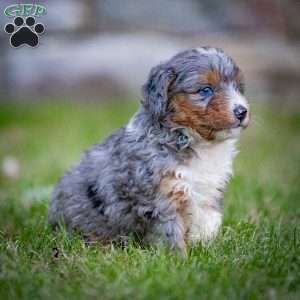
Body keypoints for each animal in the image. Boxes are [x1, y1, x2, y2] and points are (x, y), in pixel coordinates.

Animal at [48, 47, 251, 253]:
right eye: (206, 90)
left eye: (238, 87)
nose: (242, 111)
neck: (197, 142)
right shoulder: (163, 199)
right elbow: (171, 232)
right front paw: (178, 257)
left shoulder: (210, 194)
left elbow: (209, 224)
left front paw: (208, 250)